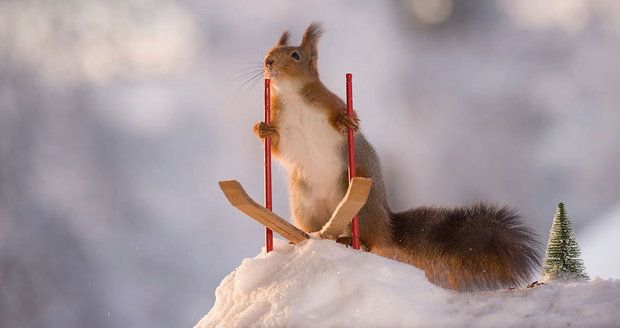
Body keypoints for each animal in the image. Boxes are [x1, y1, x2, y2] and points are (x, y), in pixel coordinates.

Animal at [254, 21, 540, 290]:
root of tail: (386, 225)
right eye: (269, 51)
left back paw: (354, 240)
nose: (268, 62)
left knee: (369, 241)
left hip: (360, 201)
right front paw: (261, 130)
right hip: (306, 206)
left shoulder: (331, 102)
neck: (292, 96)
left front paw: (346, 121)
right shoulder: (283, 127)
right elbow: (277, 147)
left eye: (295, 55)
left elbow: (344, 115)